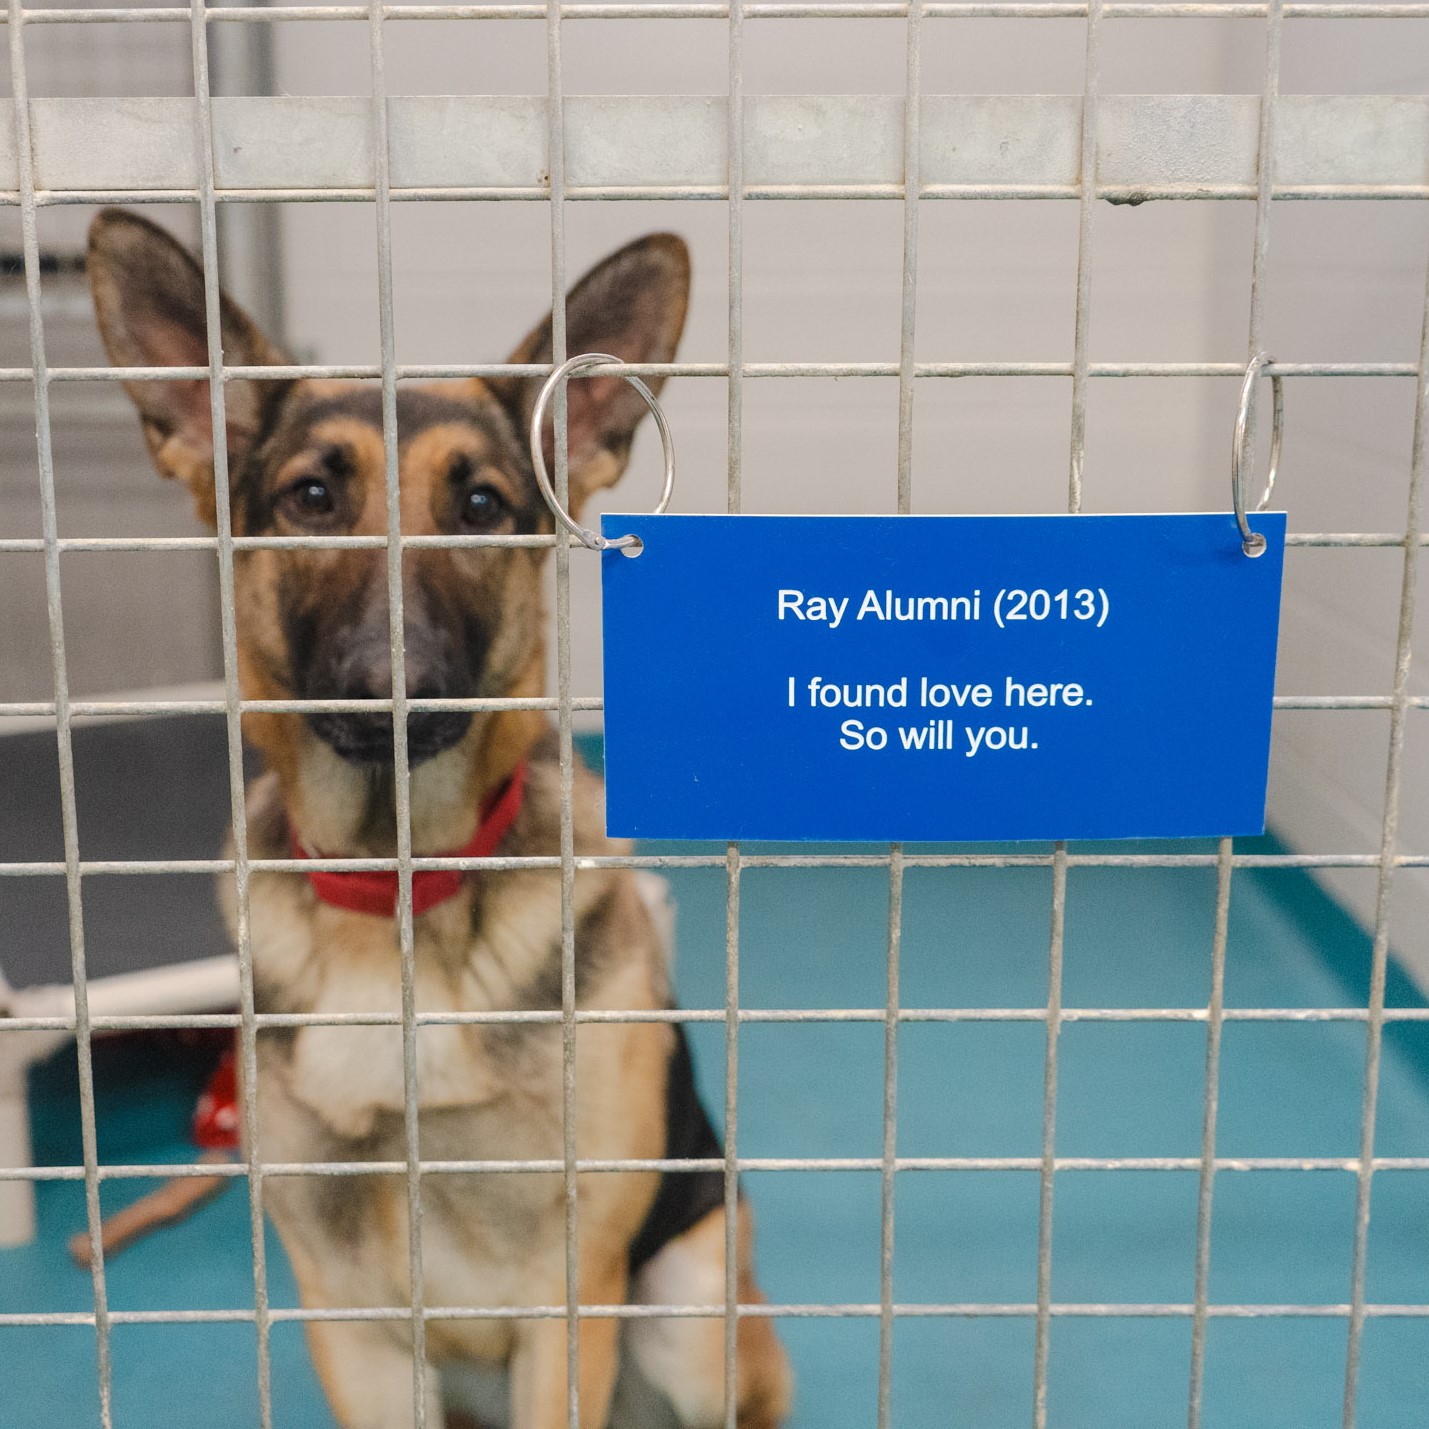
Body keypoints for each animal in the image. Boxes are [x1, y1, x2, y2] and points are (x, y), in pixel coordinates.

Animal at [89, 211, 794, 1429]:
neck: (398, 890)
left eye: (479, 508)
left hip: (690, 1306)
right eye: (312, 500)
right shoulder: (354, 1328)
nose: (396, 685)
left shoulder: (570, 1302)